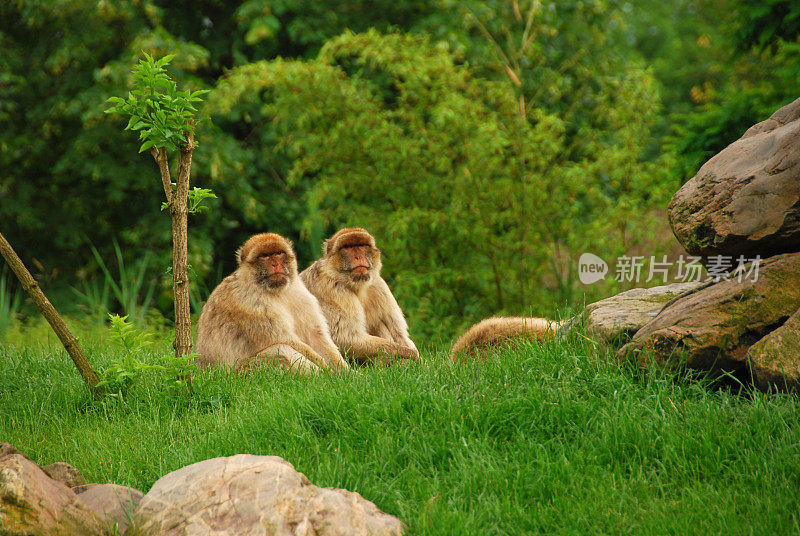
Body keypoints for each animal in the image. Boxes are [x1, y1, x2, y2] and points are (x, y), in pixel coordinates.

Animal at [195, 232, 350, 374]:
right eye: (264, 256)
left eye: (279, 253)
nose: (276, 264)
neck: (277, 292)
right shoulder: (250, 305)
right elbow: (286, 340)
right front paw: (330, 374)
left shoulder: (302, 296)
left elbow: (316, 335)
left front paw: (348, 374)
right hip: (246, 373)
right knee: (281, 348)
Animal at [300, 226, 418, 364]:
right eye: (347, 247)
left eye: (361, 245)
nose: (358, 256)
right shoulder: (334, 290)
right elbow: (345, 339)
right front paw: (408, 353)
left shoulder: (379, 285)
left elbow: (400, 335)